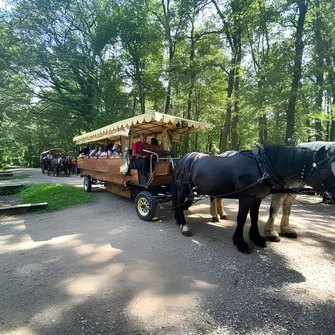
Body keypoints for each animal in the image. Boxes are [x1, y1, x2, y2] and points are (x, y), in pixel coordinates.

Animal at [173, 145, 335, 255]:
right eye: (326, 169)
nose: (332, 195)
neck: (263, 166)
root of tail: (184, 158)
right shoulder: (246, 198)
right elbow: (242, 219)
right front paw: (240, 242)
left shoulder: (257, 199)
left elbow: (255, 217)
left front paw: (256, 238)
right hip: (182, 187)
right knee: (179, 205)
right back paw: (184, 225)